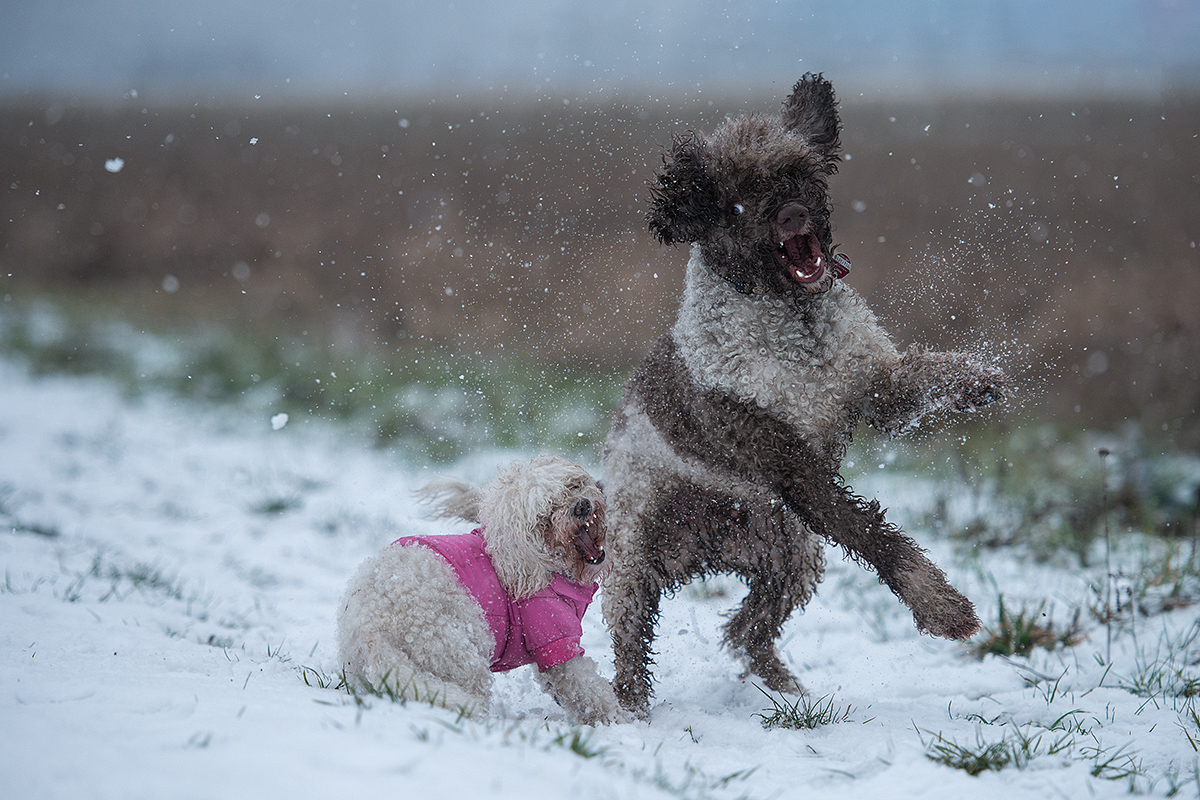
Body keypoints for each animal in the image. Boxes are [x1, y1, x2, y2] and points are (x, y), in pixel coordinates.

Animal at [333, 455, 624, 724]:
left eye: (573, 486)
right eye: (546, 517)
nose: (581, 506)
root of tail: (369, 628)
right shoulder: (553, 637)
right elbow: (587, 689)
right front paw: (619, 720)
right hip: (456, 650)